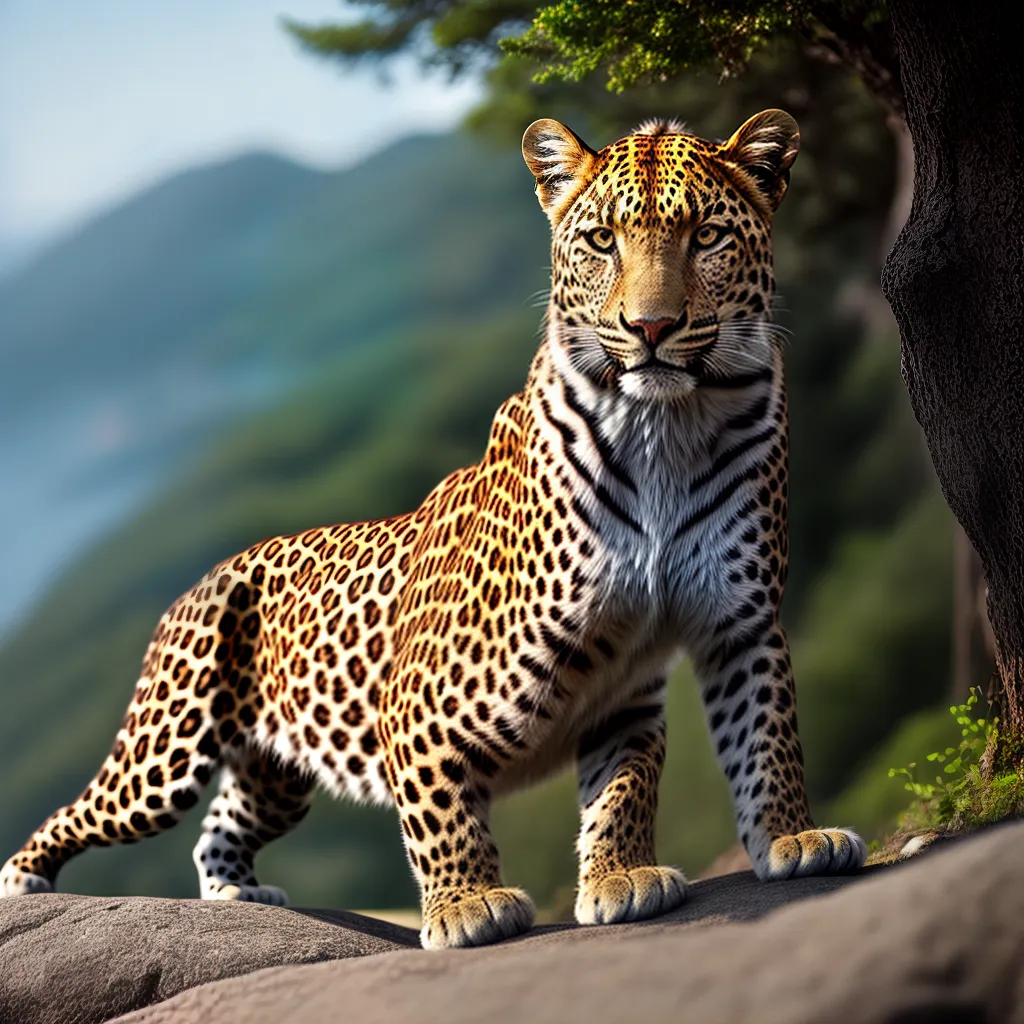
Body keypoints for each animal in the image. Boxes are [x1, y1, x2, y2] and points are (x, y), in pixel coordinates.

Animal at [1, 109, 866, 948]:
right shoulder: (420, 701)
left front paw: (741, 848)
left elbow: (735, 745)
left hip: (276, 774)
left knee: (220, 827)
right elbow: (441, 814)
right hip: (167, 750)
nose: (651, 326)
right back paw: (26, 883)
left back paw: (240, 897)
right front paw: (466, 904)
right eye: (601, 241)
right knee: (82, 810)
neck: (666, 427)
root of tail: (205, 577)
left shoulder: (718, 635)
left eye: (708, 236)